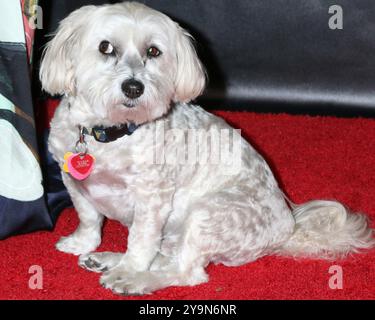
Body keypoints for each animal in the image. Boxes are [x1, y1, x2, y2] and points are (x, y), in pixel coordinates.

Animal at [39, 1, 374, 296]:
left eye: (153, 51)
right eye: (106, 47)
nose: (134, 87)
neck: (110, 131)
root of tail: (287, 228)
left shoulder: (152, 198)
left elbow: (141, 241)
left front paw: (130, 270)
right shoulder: (73, 181)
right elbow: (88, 217)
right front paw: (83, 243)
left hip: (208, 214)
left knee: (187, 272)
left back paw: (134, 278)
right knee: (169, 258)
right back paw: (109, 259)